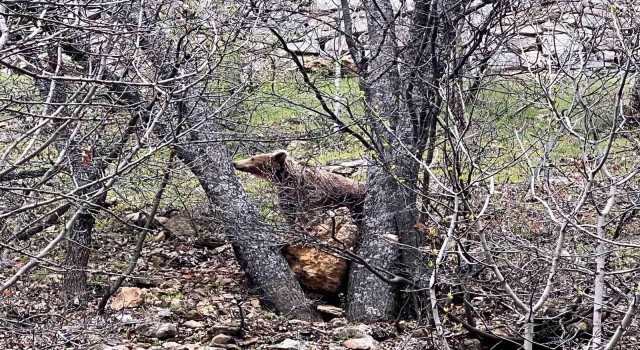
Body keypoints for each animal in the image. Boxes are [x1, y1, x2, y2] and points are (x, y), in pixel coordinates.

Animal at [234, 150, 364, 230]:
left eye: (252, 158)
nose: (235, 162)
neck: (286, 180)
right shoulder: (285, 195)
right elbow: (288, 212)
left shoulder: (309, 192)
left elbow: (308, 213)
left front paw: (307, 226)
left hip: (355, 202)